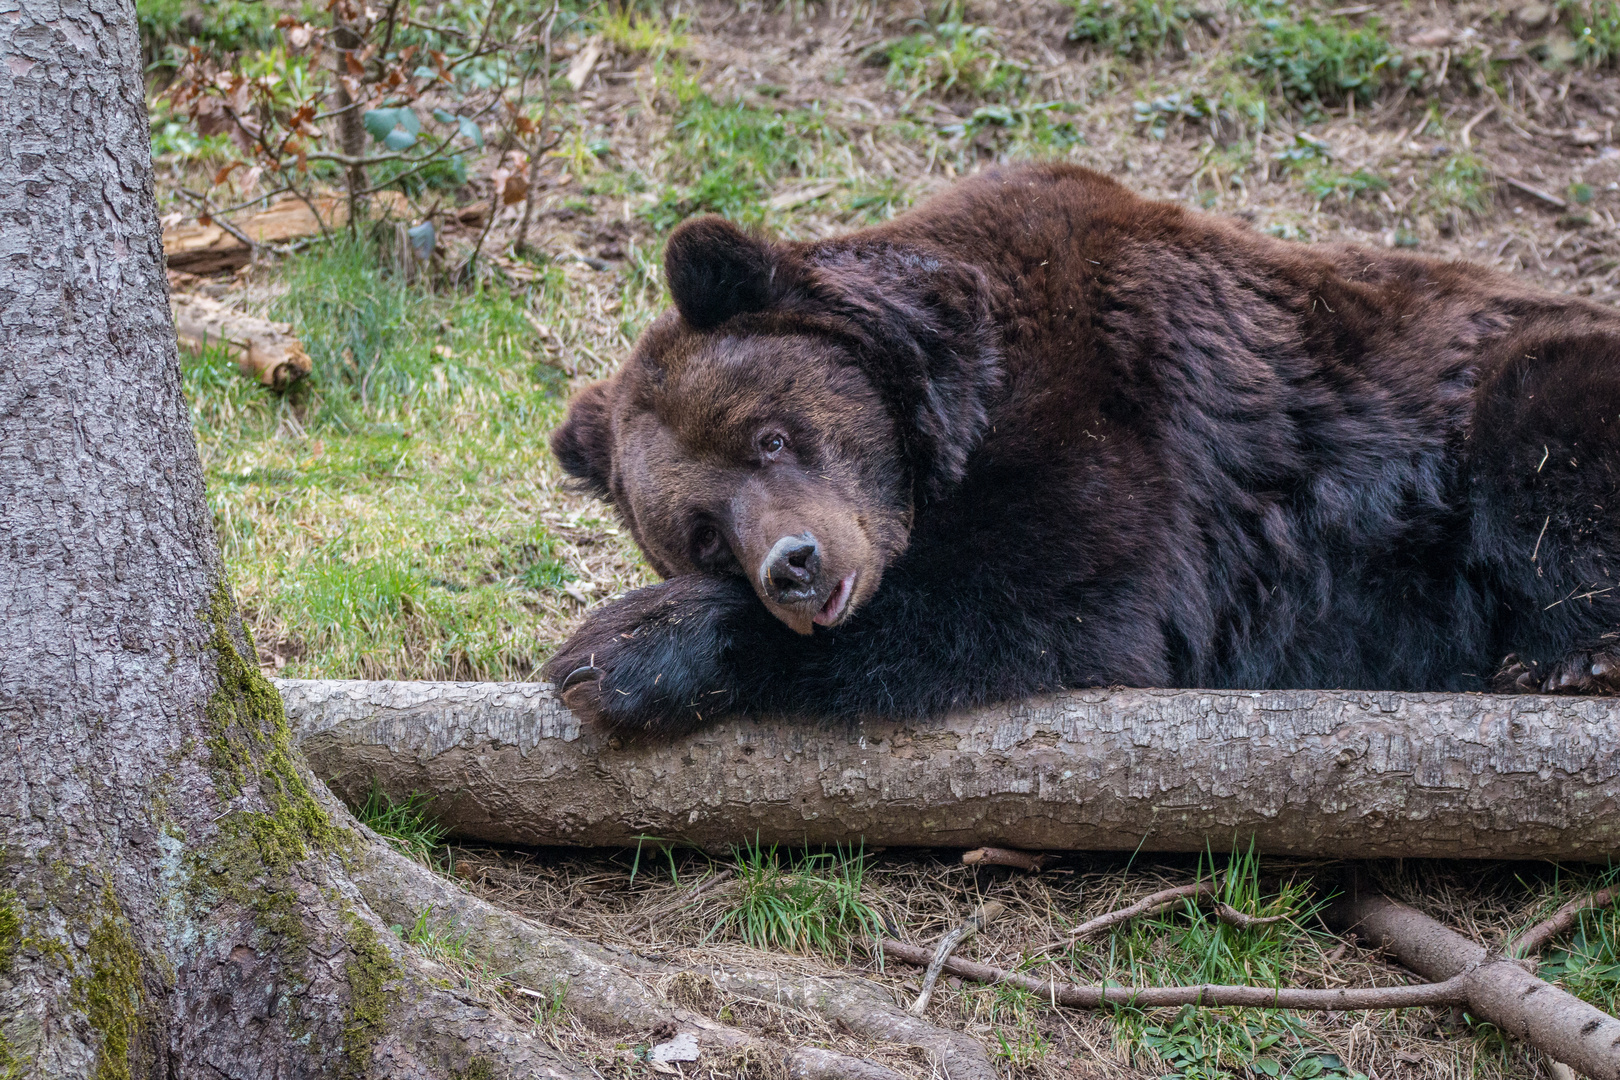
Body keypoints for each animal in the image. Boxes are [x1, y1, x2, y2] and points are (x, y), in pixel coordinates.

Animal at [544, 160, 1620, 735]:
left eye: (769, 435)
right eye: (700, 533)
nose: (794, 567)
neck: (962, 384)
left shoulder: (1116, 392)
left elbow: (1041, 595)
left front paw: (620, 650)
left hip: (1505, 394)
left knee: (1538, 430)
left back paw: (1570, 658)